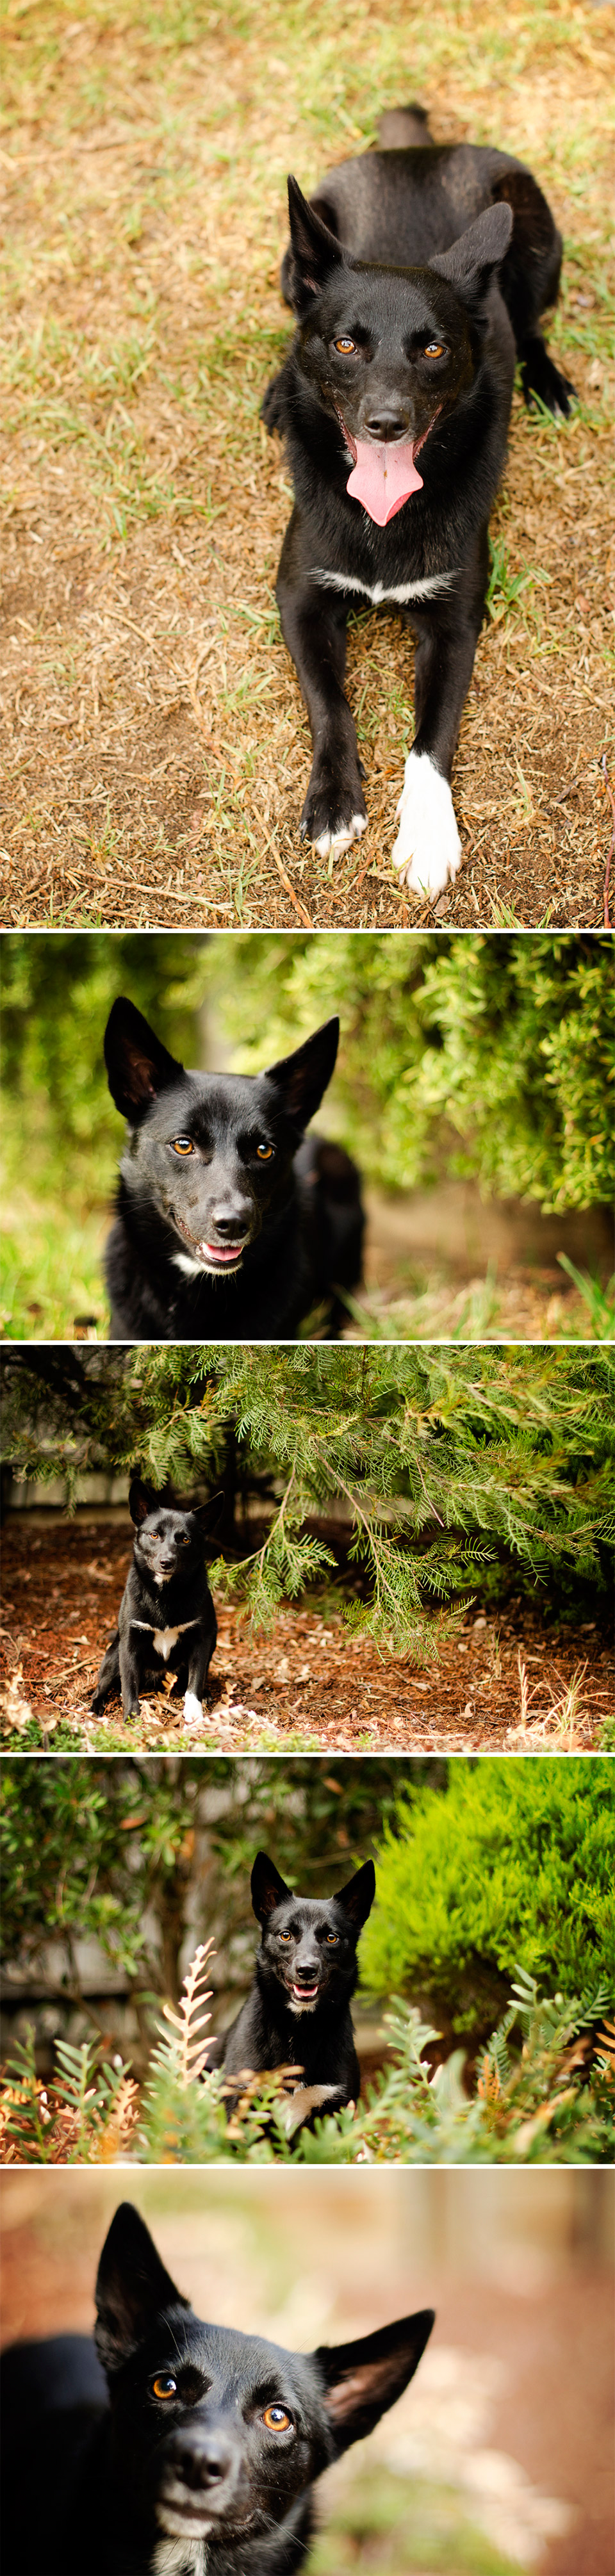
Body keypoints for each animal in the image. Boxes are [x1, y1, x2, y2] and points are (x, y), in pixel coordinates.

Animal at [90, 1483, 217, 1720]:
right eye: (155, 1535)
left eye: (186, 1539)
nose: (166, 1562)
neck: (165, 1595)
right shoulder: (129, 1646)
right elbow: (129, 1687)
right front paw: (132, 1719)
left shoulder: (202, 1641)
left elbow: (195, 1683)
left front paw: (194, 1714)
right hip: (114, 1655)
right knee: (102, 1686)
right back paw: (95, 1708)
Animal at [262, 100, 573, 901]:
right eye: (346, 345)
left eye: (433, 349)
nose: (385, 424)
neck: (382, 520)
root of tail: (414, 147)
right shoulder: (298, 595)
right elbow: (331, 704)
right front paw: (333, 802)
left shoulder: (456, 621)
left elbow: (432, 737)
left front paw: (430, 835)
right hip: (289, 267)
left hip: (537, 245)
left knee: (532, 323)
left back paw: (550, 382)